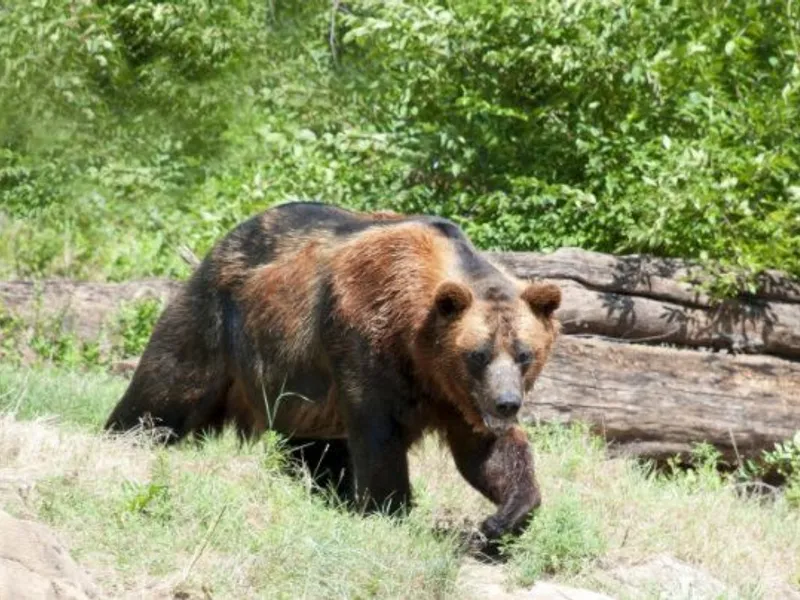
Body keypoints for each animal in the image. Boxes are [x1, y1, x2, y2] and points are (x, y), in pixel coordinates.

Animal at [106, 202, 560, 544]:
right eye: (478, 354)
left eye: (524, 353)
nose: (506, 403)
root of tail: (221, 243)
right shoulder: (366, 342)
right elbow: (378, 434)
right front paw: (388, 509)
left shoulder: (456, 396)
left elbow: (486, 453)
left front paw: (498, 521)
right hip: (216, 324)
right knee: (165, 391)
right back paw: (124, 436)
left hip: (299, 389)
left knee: (313, 446)